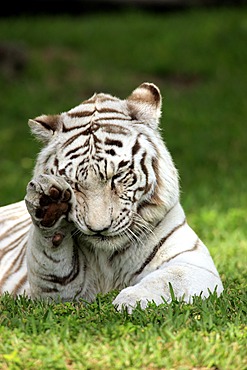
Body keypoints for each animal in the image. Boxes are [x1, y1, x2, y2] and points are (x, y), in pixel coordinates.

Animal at [0, 82, 224, 310]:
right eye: (73, 184)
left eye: (117, 176)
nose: (98, 229)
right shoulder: (59, 291)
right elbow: (53, 258)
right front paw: (49, 205)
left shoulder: (193, 263)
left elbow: (167, 280)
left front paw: (130, 300)